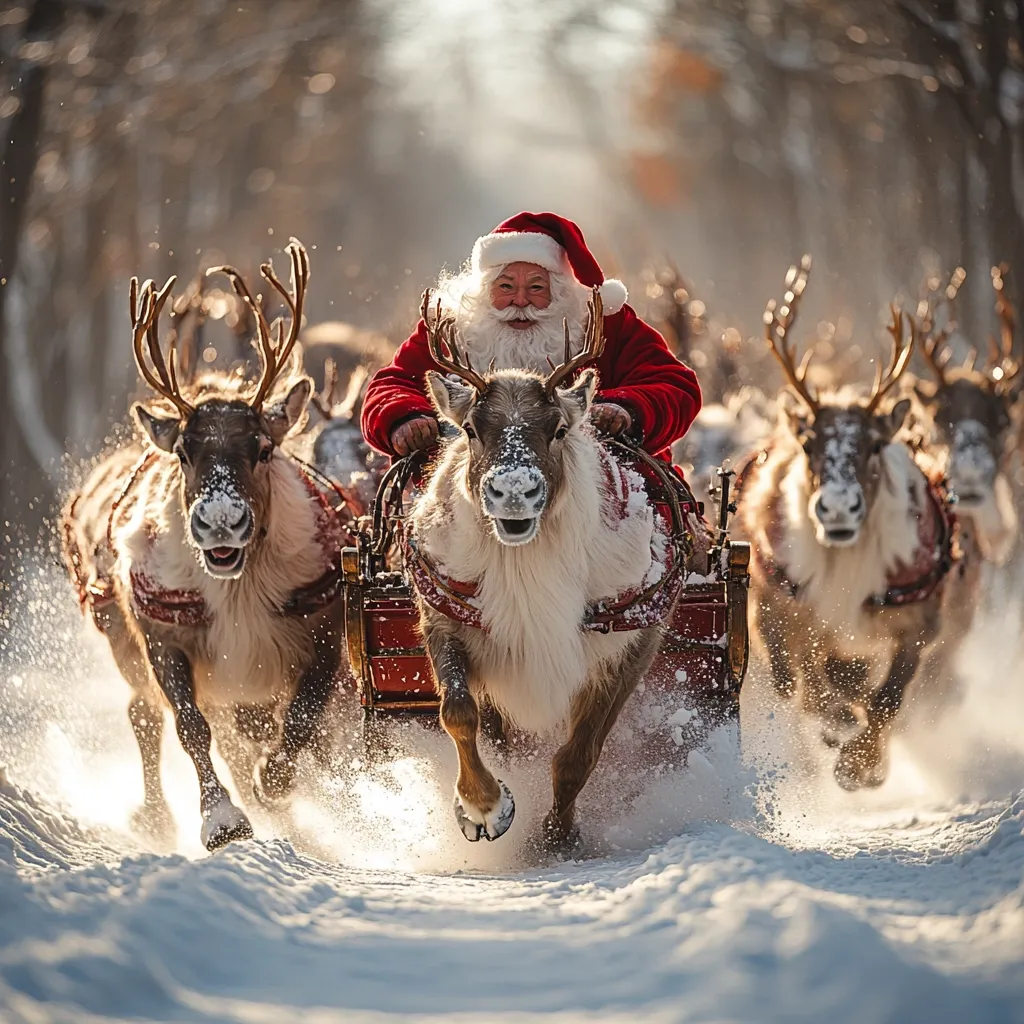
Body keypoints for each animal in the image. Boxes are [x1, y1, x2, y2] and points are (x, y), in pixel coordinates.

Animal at [60, 239, 351, 851]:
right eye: (184, 453)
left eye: (263, 448)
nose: (221, 520)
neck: (235, 589)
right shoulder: (161, 636)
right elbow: (189, 726)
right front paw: (222, 819)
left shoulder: (324, 628)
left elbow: (303, 717)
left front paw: (274, 781)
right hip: (119, 640)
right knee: (143, 714)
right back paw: (154, 816)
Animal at [405, 289, 689, 853]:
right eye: (470, 428)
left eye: (558, 429)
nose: (514, 490)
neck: (526, 572)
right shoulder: (443, 620)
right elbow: (459, 713)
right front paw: (484, 806)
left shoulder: (632, 645)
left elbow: (580, 754)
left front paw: (558, 834)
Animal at [736, 256, 963, 790]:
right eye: (808, 444)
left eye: (876, 444)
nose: (837, 508)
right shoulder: (784, 611)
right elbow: (808, 689)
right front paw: (840, 730)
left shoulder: (921, 623)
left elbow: (888, 698)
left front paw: (861, 766)